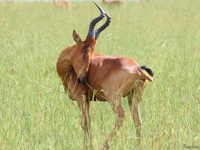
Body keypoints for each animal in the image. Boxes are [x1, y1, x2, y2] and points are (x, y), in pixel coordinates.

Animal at [56, 1, 153, 149]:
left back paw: (105, 144)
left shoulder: (81, 98)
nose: (82, 79)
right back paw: (139, 145)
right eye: (84, 49)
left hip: (113, 97)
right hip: (134, 97)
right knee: (138, 120)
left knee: (121, 115)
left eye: (92, 50)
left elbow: (85, 123)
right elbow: (88, 123)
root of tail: (139, 69)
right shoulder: (88, 100)